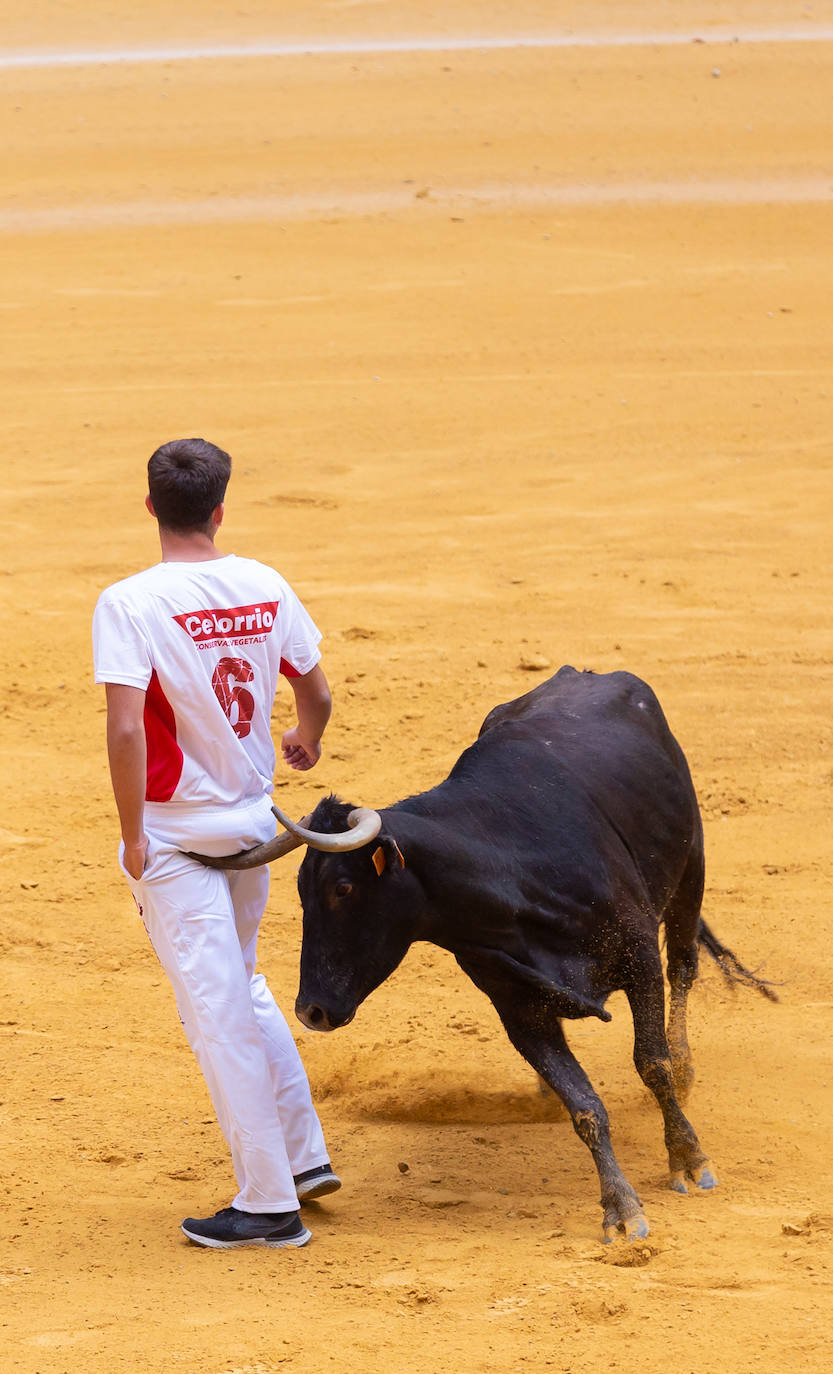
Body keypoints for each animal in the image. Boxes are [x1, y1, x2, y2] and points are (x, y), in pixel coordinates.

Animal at [200, 667, 775, 1247]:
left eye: (343, 888)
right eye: (299, 891)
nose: (310, 1011)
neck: (510, 873)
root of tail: (590, 674)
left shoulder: (638, 959)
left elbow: (650, 1063)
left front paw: (688, 1157)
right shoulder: (519, 1011)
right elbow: (584, 1106)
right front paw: (620, 1205)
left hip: (691, 869)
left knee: (684, 969)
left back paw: (686, 1067)